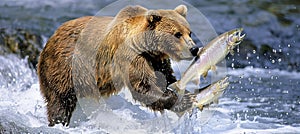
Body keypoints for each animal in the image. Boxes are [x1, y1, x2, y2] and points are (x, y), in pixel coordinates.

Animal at [38, 4, 200, 126]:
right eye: (177, 34)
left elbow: (165, 77)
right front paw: (185, 100)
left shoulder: (155, 60)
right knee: (60, 101)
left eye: (189, 32)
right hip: (64, 66)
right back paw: (58, 122)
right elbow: (143, 86)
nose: (194, 49)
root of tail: (51, 37)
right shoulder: (129, 55)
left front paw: (186, 94)